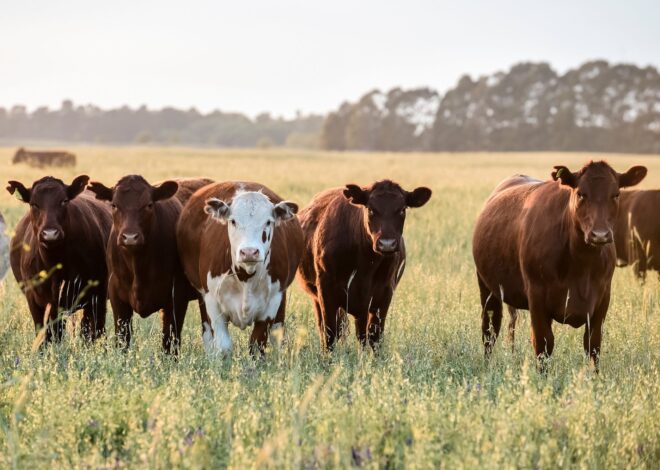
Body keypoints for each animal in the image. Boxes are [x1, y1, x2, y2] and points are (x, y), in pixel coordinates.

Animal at [7, 176, 111, 345]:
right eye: (34, 204)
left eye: (64, 201)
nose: (50, 234)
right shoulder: (36, 300)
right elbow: (45, 334)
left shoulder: (96, 295)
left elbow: (90, 333)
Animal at [88, 176, 213, 354]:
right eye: (114, 205)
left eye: (148, 205)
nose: (130, 237)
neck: (138, 265)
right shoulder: (116, 296)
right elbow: (122, 340)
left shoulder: (176, 297)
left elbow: (170, 341)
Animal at [177, 182, 303, 356]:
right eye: (233, 221)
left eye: (268, 222)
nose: (249, 251)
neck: (246, 277)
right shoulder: (212, 302)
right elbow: (223, 347)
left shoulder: (272, 303)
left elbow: (257, 346)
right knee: (208, 334)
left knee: (277, 331)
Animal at [297, 180, 432, 351]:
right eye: (371, 209)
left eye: (402, 210)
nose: (386, 244)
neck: (365, 265)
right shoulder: (326, 290)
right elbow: (329, 333)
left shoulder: (383, 294)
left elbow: (374, 336)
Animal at [472, 161, 647, 370]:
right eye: (581, 193)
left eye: (616, 194)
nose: (600, 235)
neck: (581, 265)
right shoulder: (537, 296)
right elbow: (543, 345)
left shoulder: (603, 298)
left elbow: (593, 345)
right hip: (487, 287)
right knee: (490, 330)